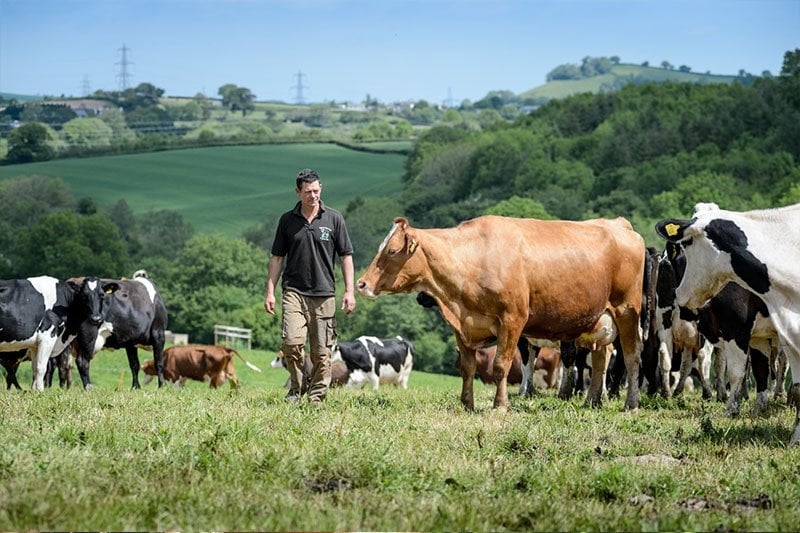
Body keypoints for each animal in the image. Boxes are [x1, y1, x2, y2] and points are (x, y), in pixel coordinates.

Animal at [360, 214, 648, 410]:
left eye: (392, 250)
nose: (362, 284)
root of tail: (618, 224)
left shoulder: (513, 320)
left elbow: (501, 365)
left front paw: (500, 405)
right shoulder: (462, 328)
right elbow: (467, 368)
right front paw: (467, 403)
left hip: (626, 311)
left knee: (632, 356)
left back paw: (630, 404)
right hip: (600, 320)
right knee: (600, 359)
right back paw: (592, 401)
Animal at [656, 203, 800, 444]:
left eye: (686, 246)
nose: (671, 295)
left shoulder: (737, 329)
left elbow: (736, 371)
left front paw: (732, 408)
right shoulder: (756, 335)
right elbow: (759, 370)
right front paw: (758, 407)